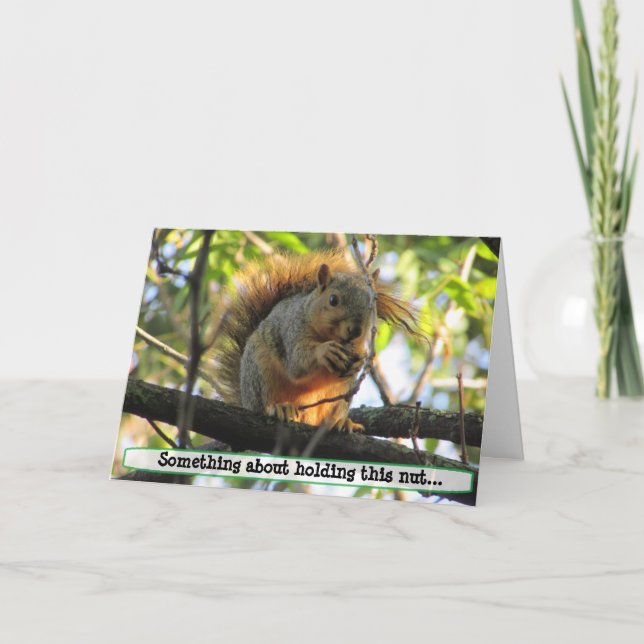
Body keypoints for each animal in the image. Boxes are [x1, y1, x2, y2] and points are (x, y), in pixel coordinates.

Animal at [212, 248, 420, 432]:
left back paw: (341, 423)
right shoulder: (292, 330)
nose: (355, 331)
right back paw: (280, 408)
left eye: (371, 306)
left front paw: (359, 363)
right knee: (264, 403)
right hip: (259, 373)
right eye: (333, 300)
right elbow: (297, 362)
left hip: (339, 398)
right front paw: (325, 352)